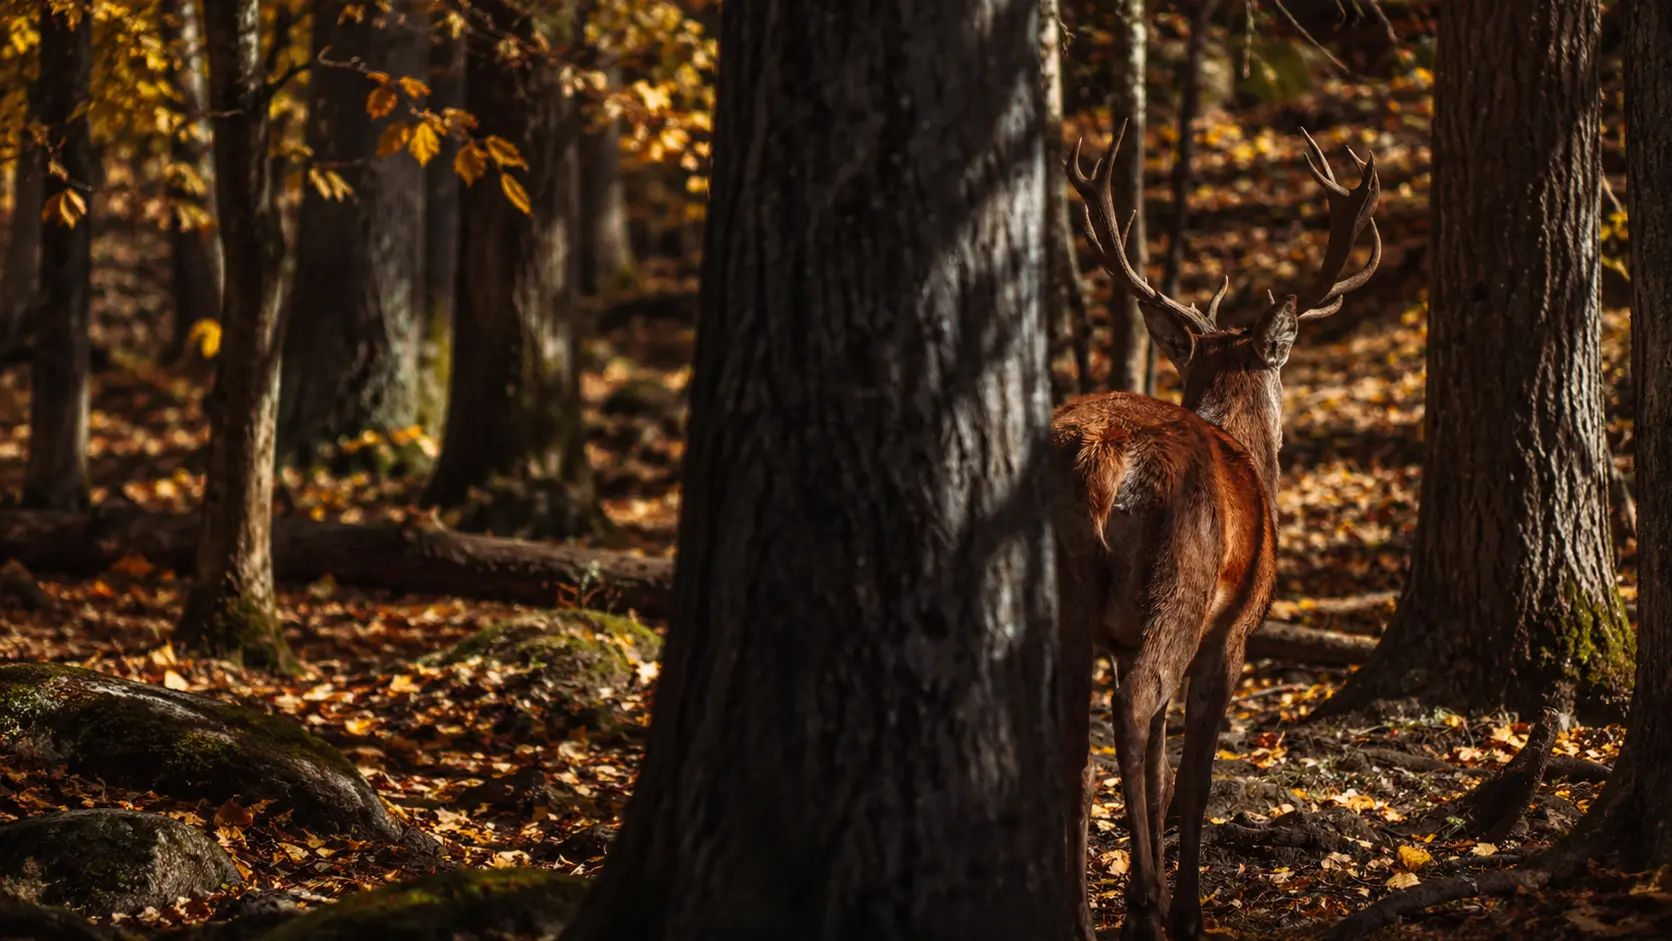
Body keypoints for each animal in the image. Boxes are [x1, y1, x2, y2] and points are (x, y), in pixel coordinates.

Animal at [1054, 119, 1380, 941]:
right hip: (1180, 581)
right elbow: (1194, 774)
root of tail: (1103, 456)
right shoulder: (1234, 630)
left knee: (1079, 739)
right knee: (1131, 707)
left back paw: (1080, 915)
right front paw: (1187, 908)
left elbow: (1161, 762)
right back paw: (1144, 905)